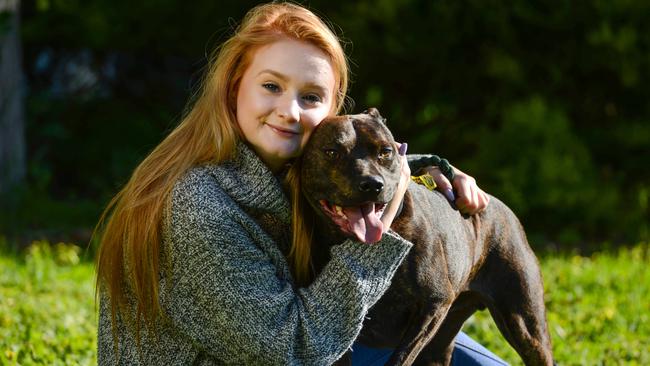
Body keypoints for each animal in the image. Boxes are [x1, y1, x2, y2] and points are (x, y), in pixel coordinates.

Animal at [300, 107, 552, 364]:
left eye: (385, 152)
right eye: (332, 152)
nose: (372, 184)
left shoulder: (434, 304)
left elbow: (401, 357)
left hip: (525, 326)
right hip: (442, 342)